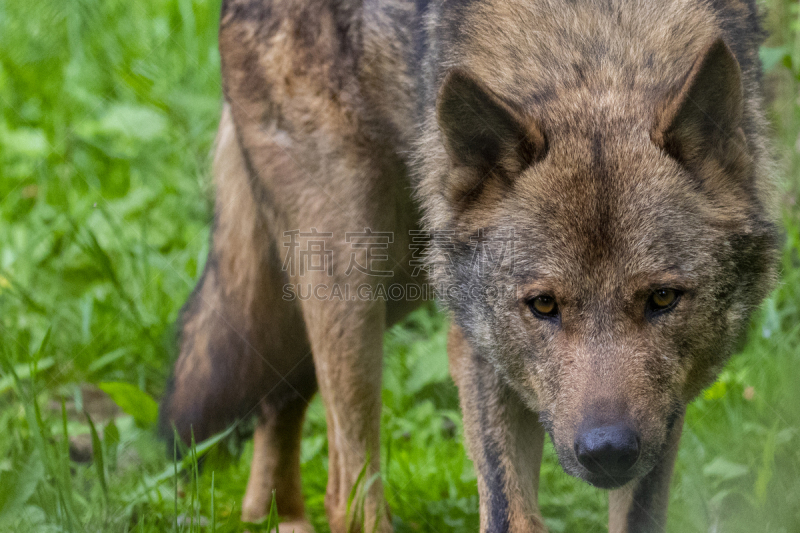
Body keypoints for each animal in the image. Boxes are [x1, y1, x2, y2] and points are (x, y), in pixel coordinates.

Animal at [159, 0, 780, 528]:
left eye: (662, 299)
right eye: (543, 305)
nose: (606, 451)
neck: (595, 49)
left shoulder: (665, 413)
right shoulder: (480, 355)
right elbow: (512, 515)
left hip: (400, 280)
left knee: (279, 397)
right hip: (352, 276)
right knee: (346, 492)